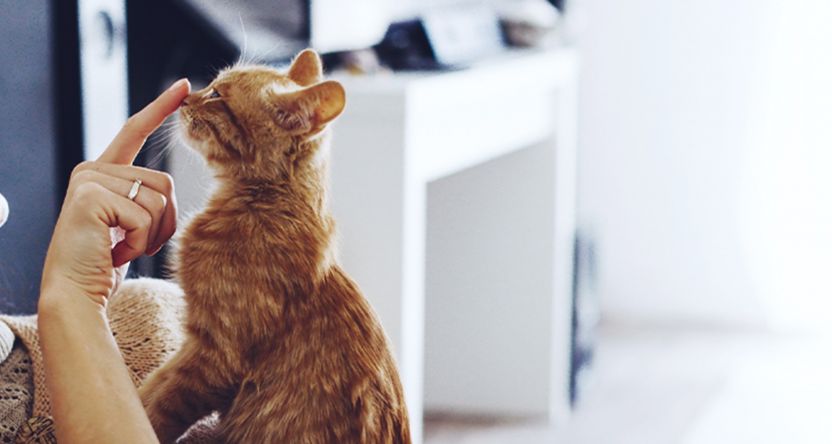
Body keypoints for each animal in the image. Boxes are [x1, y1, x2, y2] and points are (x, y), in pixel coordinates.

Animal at [141, 50, 412, 442]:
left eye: (217, 95)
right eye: (210, 86)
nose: (186, 97)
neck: (262, 205)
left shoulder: (214, 355)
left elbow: (159, 408)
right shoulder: (194, 346)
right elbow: (152, 384)